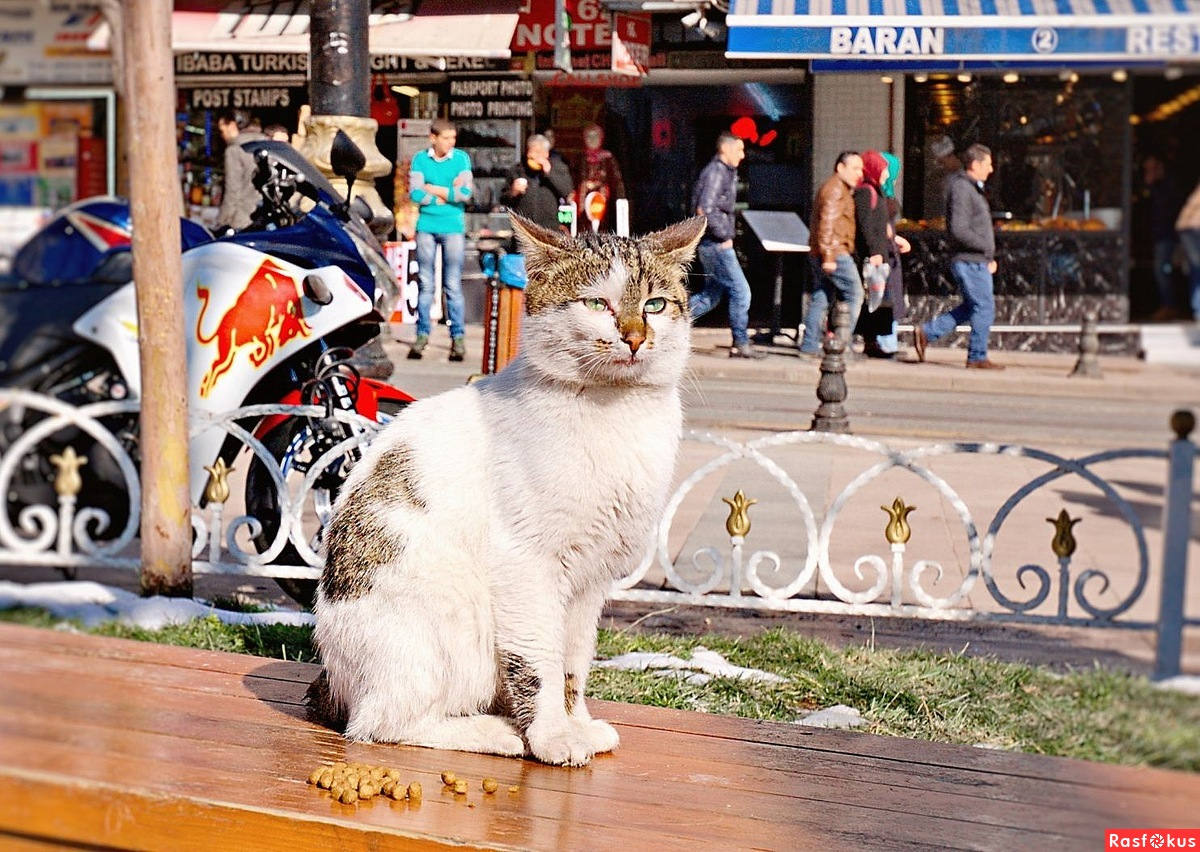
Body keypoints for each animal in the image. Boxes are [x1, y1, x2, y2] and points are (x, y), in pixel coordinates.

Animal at [309, 212, 705, 768]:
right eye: (596, 304)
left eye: (655, 305)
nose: (634, 336)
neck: (615, 411)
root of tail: (333, 677)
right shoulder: (528, 565)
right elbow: (539, 661)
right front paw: (552, 736)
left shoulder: (590, 581)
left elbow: (572, 661)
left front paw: (577, 724)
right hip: (448, 619)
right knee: (379, 724)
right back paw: (491, 731)